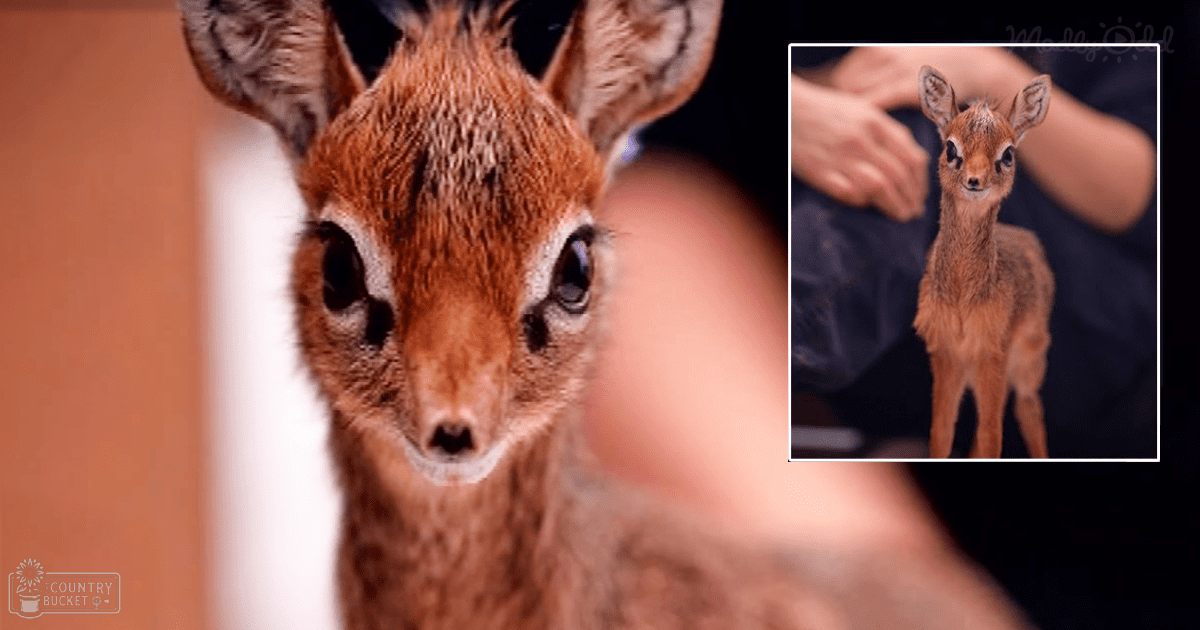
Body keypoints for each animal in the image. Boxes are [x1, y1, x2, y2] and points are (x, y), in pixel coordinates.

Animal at [914, 66, 1055, 459]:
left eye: (1008, 155)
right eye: (950, 147)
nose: (975, 180)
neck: (964, 295)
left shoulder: (993, 353)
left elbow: (993, 435)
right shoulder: (947, 355)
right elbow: (941, 433)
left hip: (1027, 361)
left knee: (1027, 409)